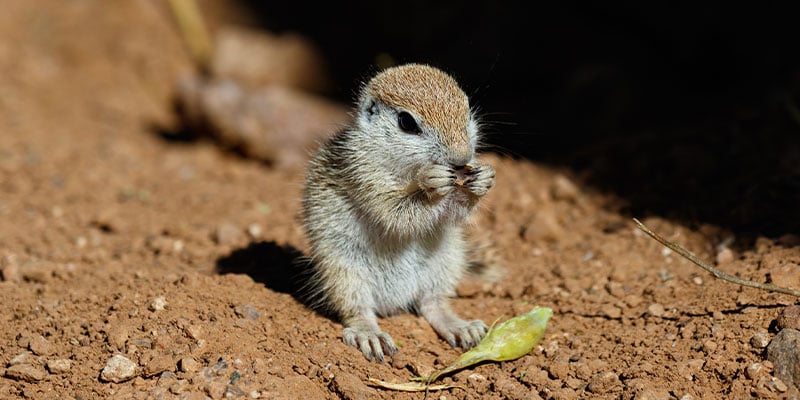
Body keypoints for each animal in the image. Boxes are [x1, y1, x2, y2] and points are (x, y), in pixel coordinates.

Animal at [300, 63, 494, 362]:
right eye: (407, 122)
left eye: (467, 110)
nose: (461, 159)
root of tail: (394, 302)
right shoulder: (362, 172)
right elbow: (395, 213)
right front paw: (432, 184)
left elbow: (453, 214)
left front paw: (481, 181)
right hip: (343, 273)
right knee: (358, 311)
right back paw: (370, 334)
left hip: (446, 264)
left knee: (432, 304)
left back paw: (460, 327)